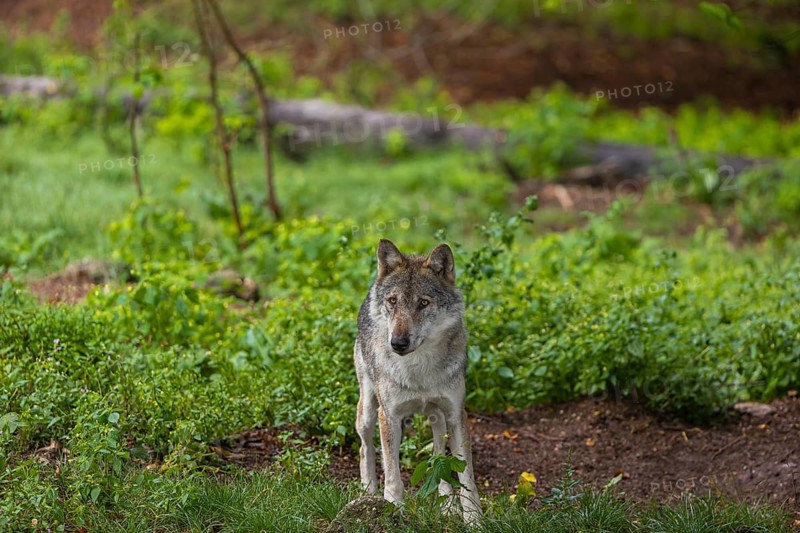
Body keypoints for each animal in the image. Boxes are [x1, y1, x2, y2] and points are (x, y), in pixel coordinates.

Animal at [354, 239, 481, 522]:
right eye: (392, 301)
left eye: (423, 303)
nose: (397, 343)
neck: (419, 371)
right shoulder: (388, 416)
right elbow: (393, 474)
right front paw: (393, 508)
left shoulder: (456, 413)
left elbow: (465, 475)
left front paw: (474, 519)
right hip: (368, 412)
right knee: (365, 448)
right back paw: (367, 493)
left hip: (439, 418)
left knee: (438, 457)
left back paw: (447, 505)